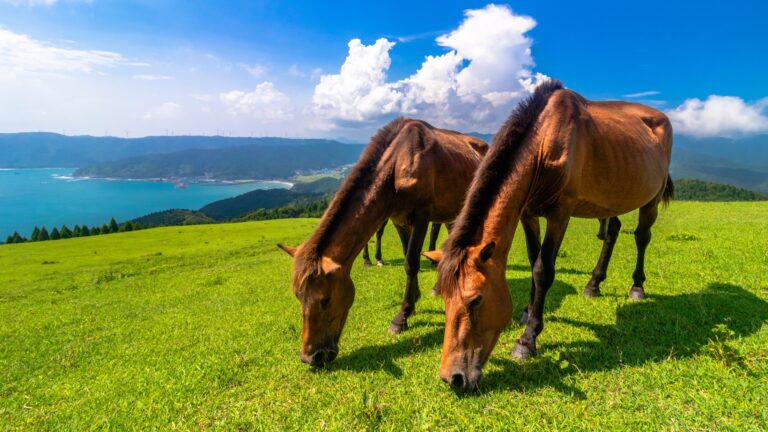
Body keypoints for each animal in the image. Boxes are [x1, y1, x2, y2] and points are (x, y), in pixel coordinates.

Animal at [277, 118, 488, 366]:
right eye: (298, 296)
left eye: (326, 300)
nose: (311, 357)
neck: (398, 164)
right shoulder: (399, 218)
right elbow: (408, 256)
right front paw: (413, 301)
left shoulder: (422, 214)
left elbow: (411, 263)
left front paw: (402, 316)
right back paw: (438, 287)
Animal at [428, 80, 673, 391]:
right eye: (444, 298)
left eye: (476, 300)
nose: (454, 378)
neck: (544, 144)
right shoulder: (528, 213)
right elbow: (533, 260)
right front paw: (528, 310)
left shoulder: (561, 213)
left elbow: (542, 270)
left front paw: (527, 340)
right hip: (611, 196)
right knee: (613, 232)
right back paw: (594, 284)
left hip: (651, 199)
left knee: (642, 237)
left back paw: (637, 287)